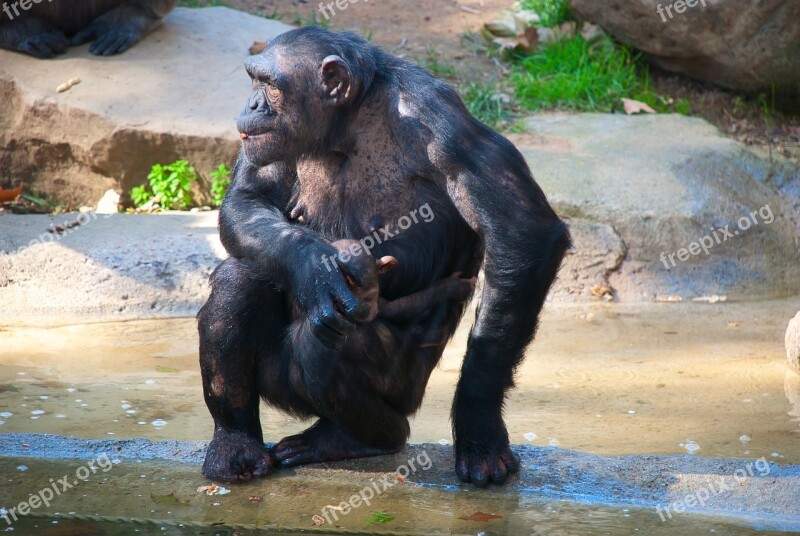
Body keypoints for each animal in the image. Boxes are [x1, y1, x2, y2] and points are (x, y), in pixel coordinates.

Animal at [199, 26, 568, 486]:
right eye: (253, 79)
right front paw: (317, 269)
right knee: (241, 279)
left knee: (325, 344)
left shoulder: (442, 121)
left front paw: (479, 426)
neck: (348, 122)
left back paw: (361, 437)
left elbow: (521, 229)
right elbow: (250, 199)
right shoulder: (270, 145)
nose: (251, 104)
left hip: (404, 389)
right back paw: (236, 446)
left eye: (269, 84)